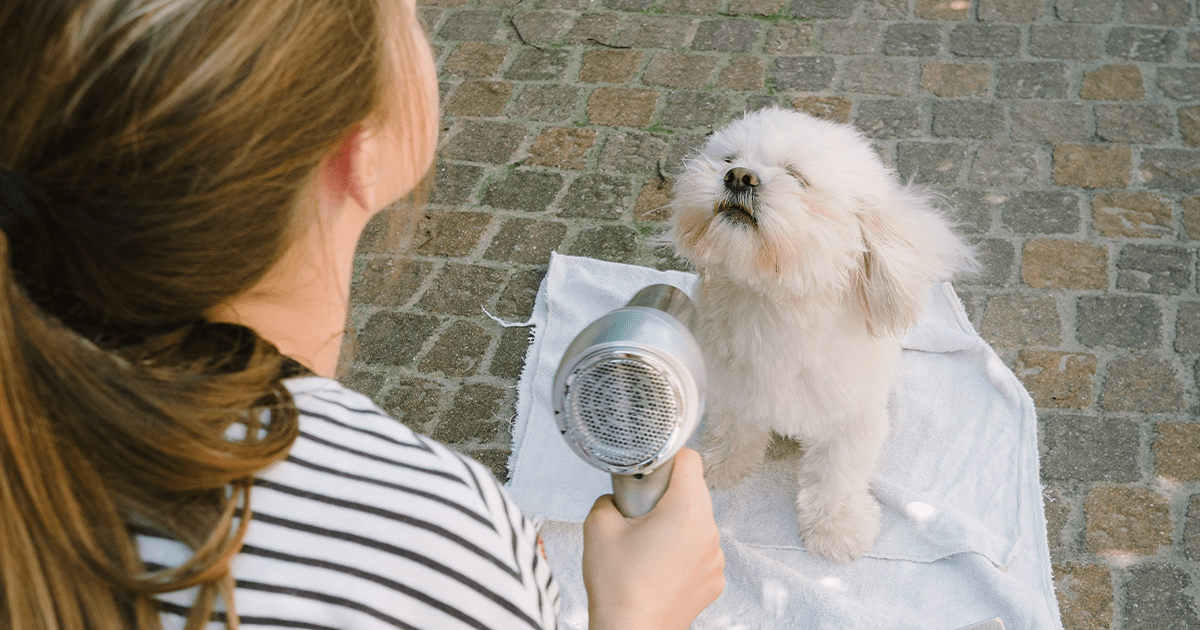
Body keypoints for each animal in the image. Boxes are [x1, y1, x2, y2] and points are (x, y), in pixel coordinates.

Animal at [672, 106, 979, 559]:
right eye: (729, 159)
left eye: (797, 177)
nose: (739, 177)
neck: (777, 305)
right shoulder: (734, 389)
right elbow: (733, 430)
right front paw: (721, 464)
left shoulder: (850, 418)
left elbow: (838, 474)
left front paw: (837, 527)